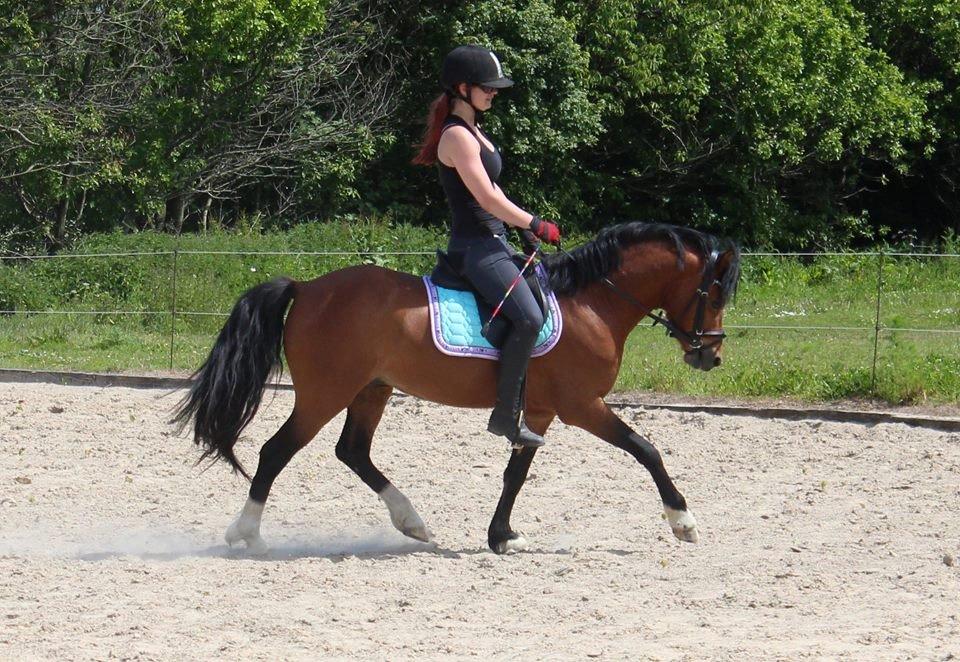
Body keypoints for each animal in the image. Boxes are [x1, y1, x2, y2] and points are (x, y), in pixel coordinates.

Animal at [173, 222, 741, 555]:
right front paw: (683, 520)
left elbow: (515, 473)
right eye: (715, 294)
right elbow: (646, 449)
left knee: (352, 451)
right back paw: (246, 533)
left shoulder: (538, 413)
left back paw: (412, 522)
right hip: (325, 393)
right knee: (276, 451)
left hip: (372, 390)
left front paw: (501, 535)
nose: (710, 356)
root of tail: (308, 287)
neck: (592, 304)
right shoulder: (583, 406)